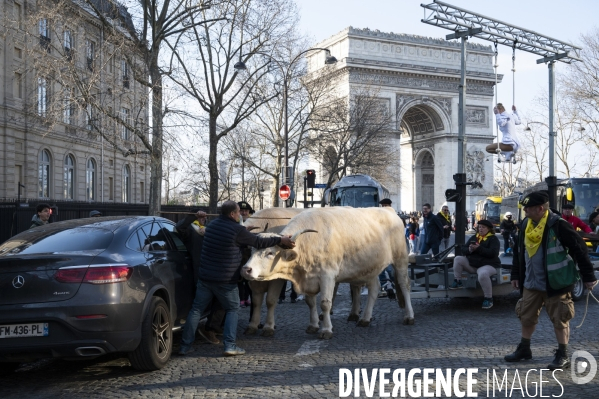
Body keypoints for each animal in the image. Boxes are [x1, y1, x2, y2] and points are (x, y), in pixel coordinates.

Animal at [241, 206, 414, 340]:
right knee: (374, 288)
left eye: (270, 253)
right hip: (369, 267)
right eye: (252, 250)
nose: (246, 269)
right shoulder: (307, 276)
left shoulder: (326, 276)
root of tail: (388, 209)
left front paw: (326, 330)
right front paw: (313, 325)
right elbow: (309, 302)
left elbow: (324, 303)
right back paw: (365, 318)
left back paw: (409, 316)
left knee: (404, 285)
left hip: (400, 259)